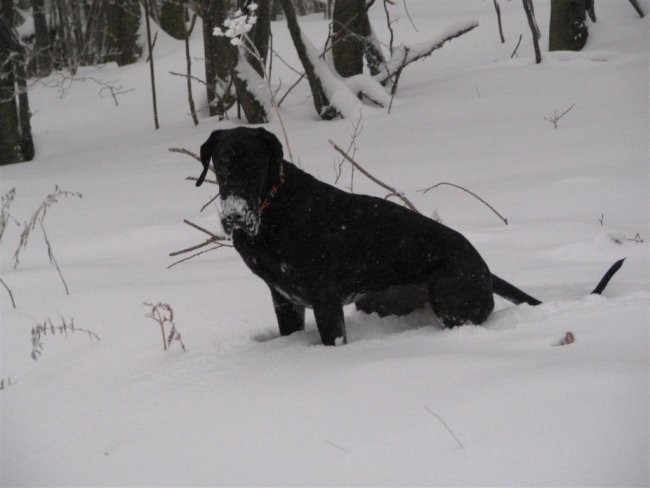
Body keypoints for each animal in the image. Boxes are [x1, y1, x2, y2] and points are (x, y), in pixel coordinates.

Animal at [196, 127, 624, 346]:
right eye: (221, 163)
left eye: (255, 163)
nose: (234, 216)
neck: (271, 208)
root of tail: (485, 267)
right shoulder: (284, 299)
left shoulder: (324, 299)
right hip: (375, 300)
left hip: (451, 301)